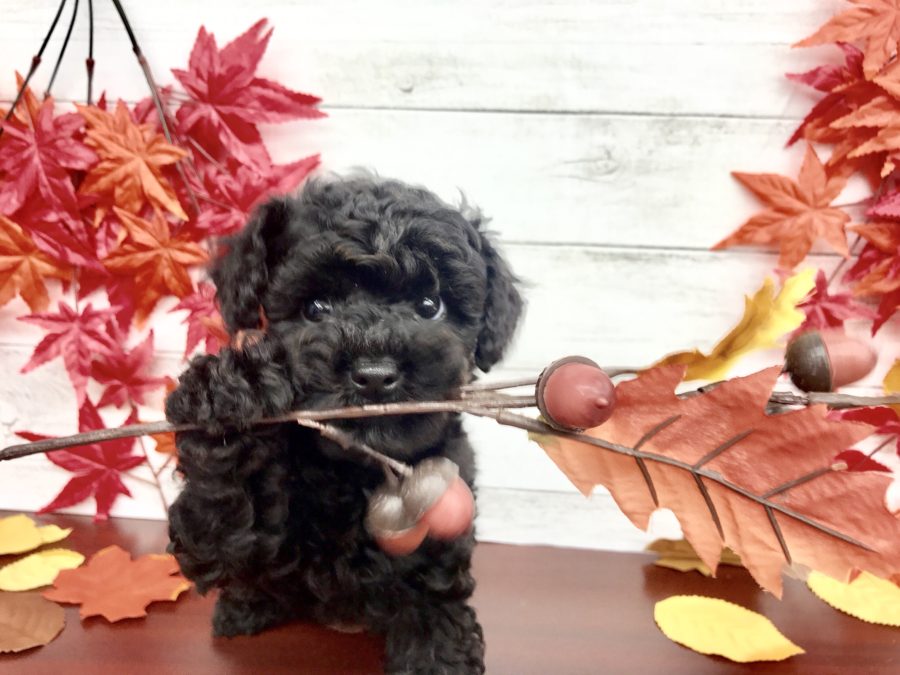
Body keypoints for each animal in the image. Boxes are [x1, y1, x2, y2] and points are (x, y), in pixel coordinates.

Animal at [165, 174, 522, 674]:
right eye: (316, 308)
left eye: (430, 305)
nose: (374, 375)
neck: (355, 470)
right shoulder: (226, 539)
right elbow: (218, 530)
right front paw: (223, 395)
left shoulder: (442, 519)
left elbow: (434, 591)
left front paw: (438, 656)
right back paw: (246, 606)